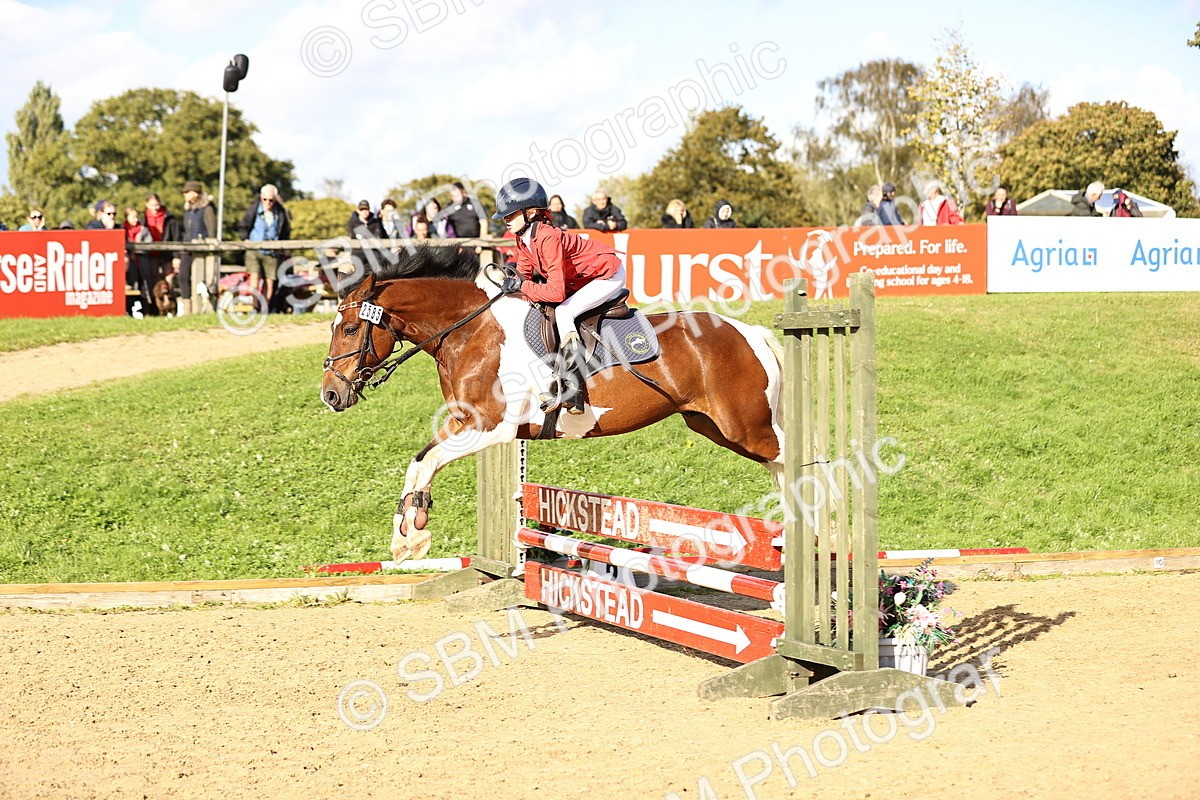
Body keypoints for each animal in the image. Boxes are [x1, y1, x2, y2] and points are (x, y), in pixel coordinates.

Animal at [320, 245, 786, 563]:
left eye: (349, 329)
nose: (330, 395)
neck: (470, 330)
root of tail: (750, 332)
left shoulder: (492, 428)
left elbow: (429, 461)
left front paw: (413, 534)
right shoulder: (464, 422)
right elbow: (418, 463)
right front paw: (408, 535)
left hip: (744, 426)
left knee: (790, 460)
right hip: (710, 424)